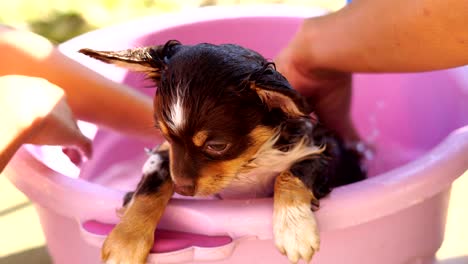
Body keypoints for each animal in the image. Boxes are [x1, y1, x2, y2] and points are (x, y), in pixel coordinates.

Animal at [80, 39, 366, 264]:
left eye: (217, 146)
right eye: (164, 134)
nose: (183, 189)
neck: (249, 160)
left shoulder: (317, 151)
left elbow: (289, 175)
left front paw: (294, 231)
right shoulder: (164, 156)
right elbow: (150, 188)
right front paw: (124, 242)